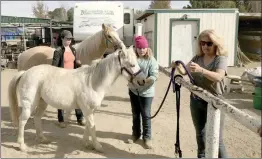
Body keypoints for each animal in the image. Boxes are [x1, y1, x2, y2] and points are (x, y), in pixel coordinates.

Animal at [8, 45, 146, 152]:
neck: (92, 82)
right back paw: (22, 146)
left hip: (42, 102)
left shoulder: (90, 110)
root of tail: (25, 73)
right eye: (132, 64)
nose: (143, 81)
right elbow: (92, 127)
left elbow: (89, 126)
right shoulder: (87, 109)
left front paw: (86, 143)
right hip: (29, 104)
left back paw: (43, 139)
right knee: (22, 121)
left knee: (37, 118)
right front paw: (97, 146)